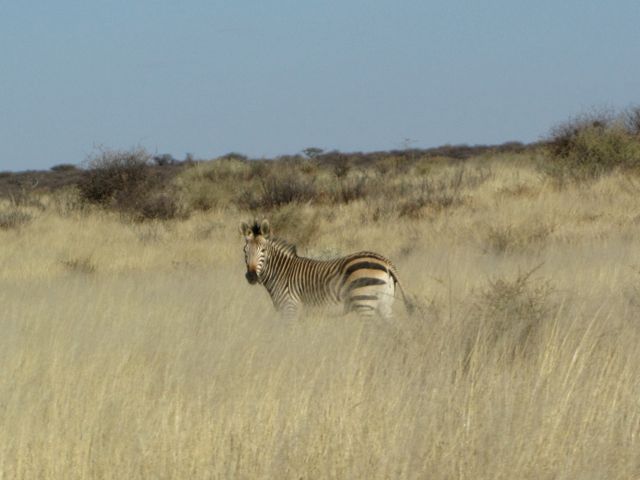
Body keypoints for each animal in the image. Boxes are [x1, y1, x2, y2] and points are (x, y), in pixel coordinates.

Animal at [241, 220, 416, 318]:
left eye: (263, 251)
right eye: (245, 251)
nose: (251, 276)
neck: (281, 272)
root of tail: (386, 262)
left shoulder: (289, 308)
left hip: (364, 302)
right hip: (384, 304)